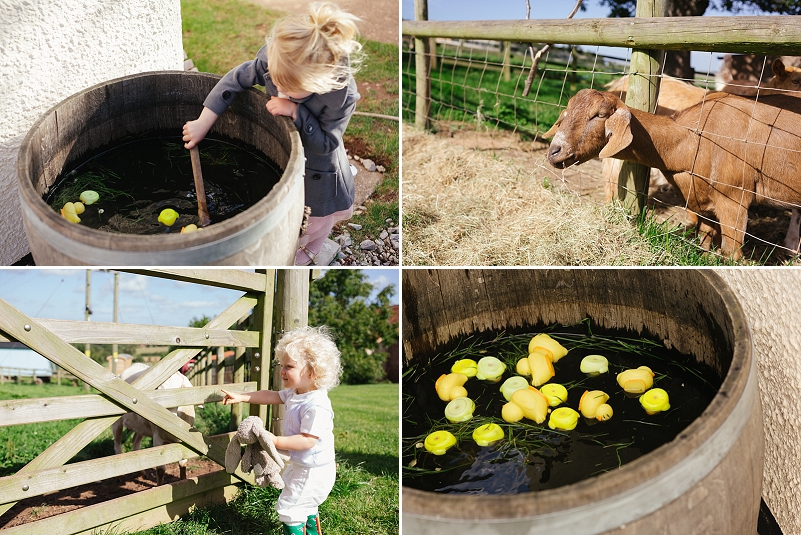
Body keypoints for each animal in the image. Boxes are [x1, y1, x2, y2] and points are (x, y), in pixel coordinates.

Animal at [548, 89, 800, 260]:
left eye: (599, 115)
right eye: (567, 113)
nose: (554, 152)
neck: (690, 140)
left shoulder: (734, 199)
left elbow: (731, 253)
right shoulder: (702, 199)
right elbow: (703, 240)